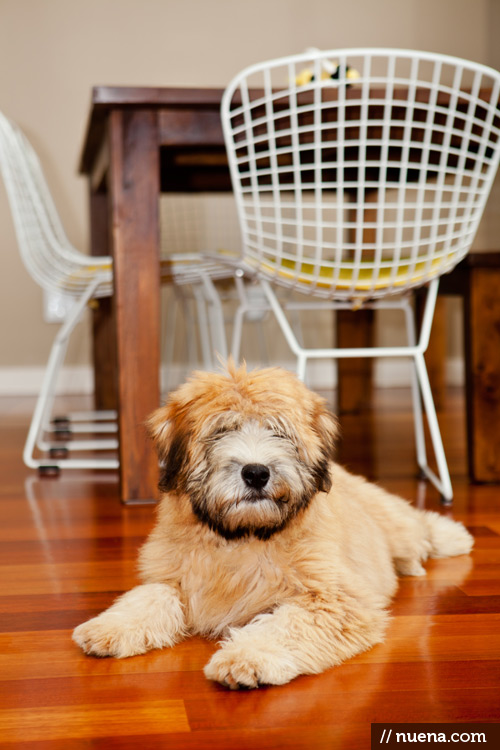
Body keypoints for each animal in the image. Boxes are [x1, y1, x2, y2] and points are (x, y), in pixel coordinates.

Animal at [73, 368, 472, 692]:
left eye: (278, 432)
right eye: (223, 430)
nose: (256, 472)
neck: (244, 537)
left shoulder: (332, 600)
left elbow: (285, 625)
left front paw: (244, 659)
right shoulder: (173, 573)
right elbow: (151, 596)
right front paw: (109, 627)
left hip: (393, 524)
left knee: (417, 527)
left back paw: (452, 536)